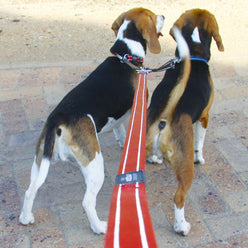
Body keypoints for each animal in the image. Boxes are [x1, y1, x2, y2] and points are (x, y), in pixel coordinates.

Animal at [146, 8, 224, 235]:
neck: (194, 52)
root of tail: (166, 115)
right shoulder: (205, 117)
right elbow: (200, 143)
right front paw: (201, 158)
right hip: (185, 168)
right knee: (179, 197)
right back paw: (181, 225)